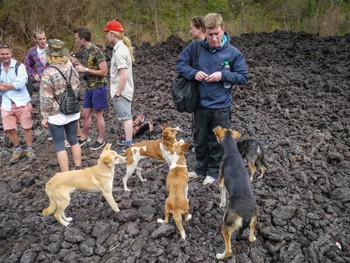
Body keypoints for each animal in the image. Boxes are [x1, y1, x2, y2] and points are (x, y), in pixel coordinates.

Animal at [212, 127, 258, 260]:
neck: (232, 151)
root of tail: (246, 216)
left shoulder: (221, 178)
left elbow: (222, 192)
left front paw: (222, 203)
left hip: (226, 224)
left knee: (229, 250)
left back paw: (220, 256)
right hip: (254, 219)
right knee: (251, 237)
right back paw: (252, 237)